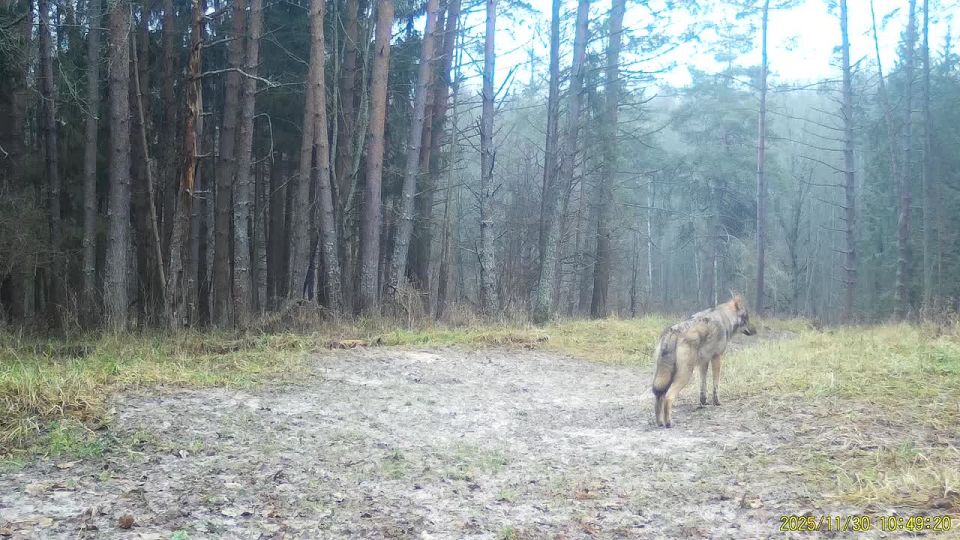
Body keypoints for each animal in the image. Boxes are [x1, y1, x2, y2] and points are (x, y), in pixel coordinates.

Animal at [651, 295, 756, 428]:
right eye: (747, 318)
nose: (755, 331)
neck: (725, 317)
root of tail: (673, 331)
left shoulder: (703, 362)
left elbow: (703, 384)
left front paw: (703, 402)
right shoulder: (717, 358)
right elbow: (716, 384)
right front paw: (717, 402)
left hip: (665, 378)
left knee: (658, 397)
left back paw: (660, 423)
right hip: (684, 376)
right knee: (668, 397)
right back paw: (668, 423)